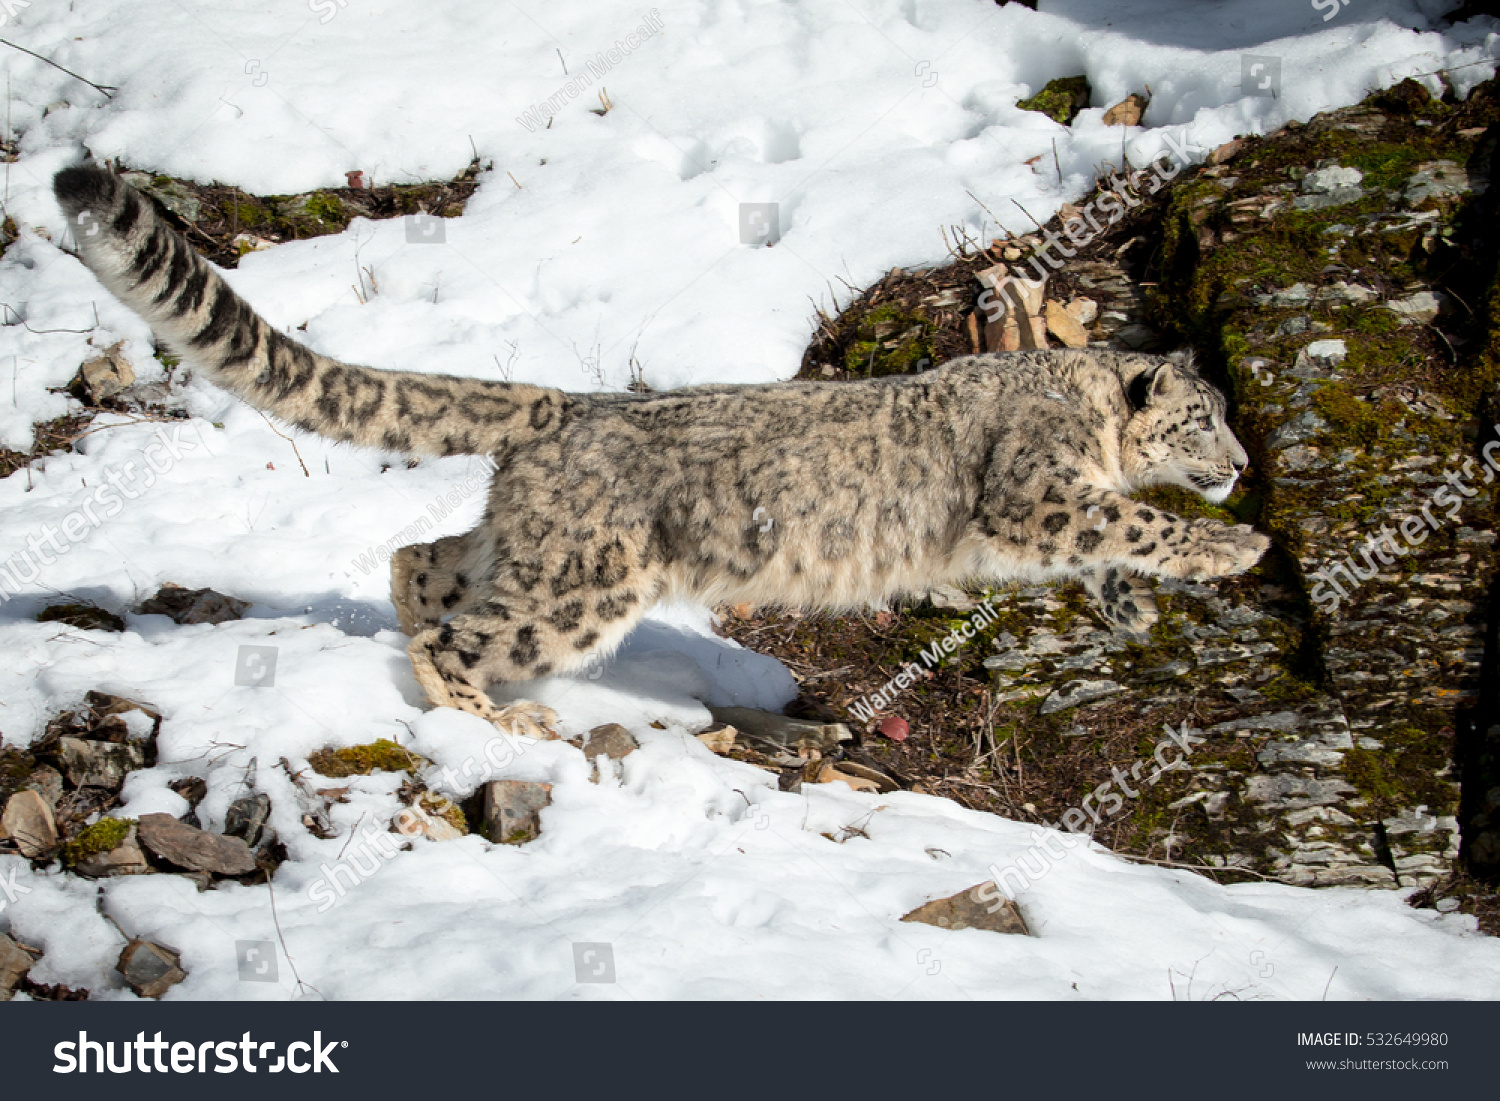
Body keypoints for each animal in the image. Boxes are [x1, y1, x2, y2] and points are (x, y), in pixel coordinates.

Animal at [52, 168, 1266, 738]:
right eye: (1206, 416)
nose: (1245, 465)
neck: (1088, 412)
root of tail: (566, 408)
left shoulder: (1056, 509)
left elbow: (1115, 537)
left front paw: (1136, 605)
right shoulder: (1036, 491)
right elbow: (1129, 517)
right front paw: (1237, 549)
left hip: (530, 545)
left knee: (423, 559)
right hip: (587, 581)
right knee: (463, 628)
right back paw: (495, 719)